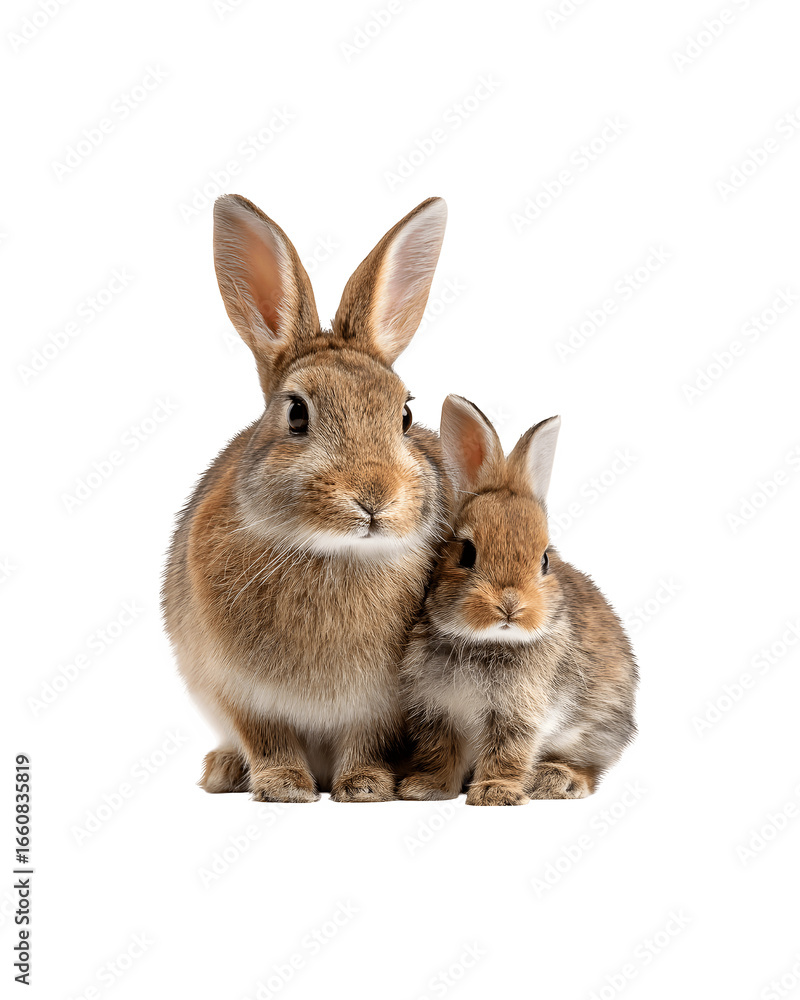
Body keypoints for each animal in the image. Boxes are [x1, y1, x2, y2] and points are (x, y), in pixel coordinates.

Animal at [162, 194, 453, 802]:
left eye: (405, 414)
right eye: (296, 413)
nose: (374, 496)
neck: (330, 552)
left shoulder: (381, 706)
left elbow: (367, 741)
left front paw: (365, 788)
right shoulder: (238, 689)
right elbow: (266, 736)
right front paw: (284, 788)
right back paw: (222, 771)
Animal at [398, 395, 638, 806]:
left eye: (544, 560)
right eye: (466, 553)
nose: (510, 604)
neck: (488, 641)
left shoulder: (517, 714)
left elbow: (507, 751)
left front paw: (496, 794)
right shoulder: (436, 711)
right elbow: (441, 753)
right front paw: (425, 789)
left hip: (595, 729)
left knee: (590, 769)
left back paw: (557, 780)